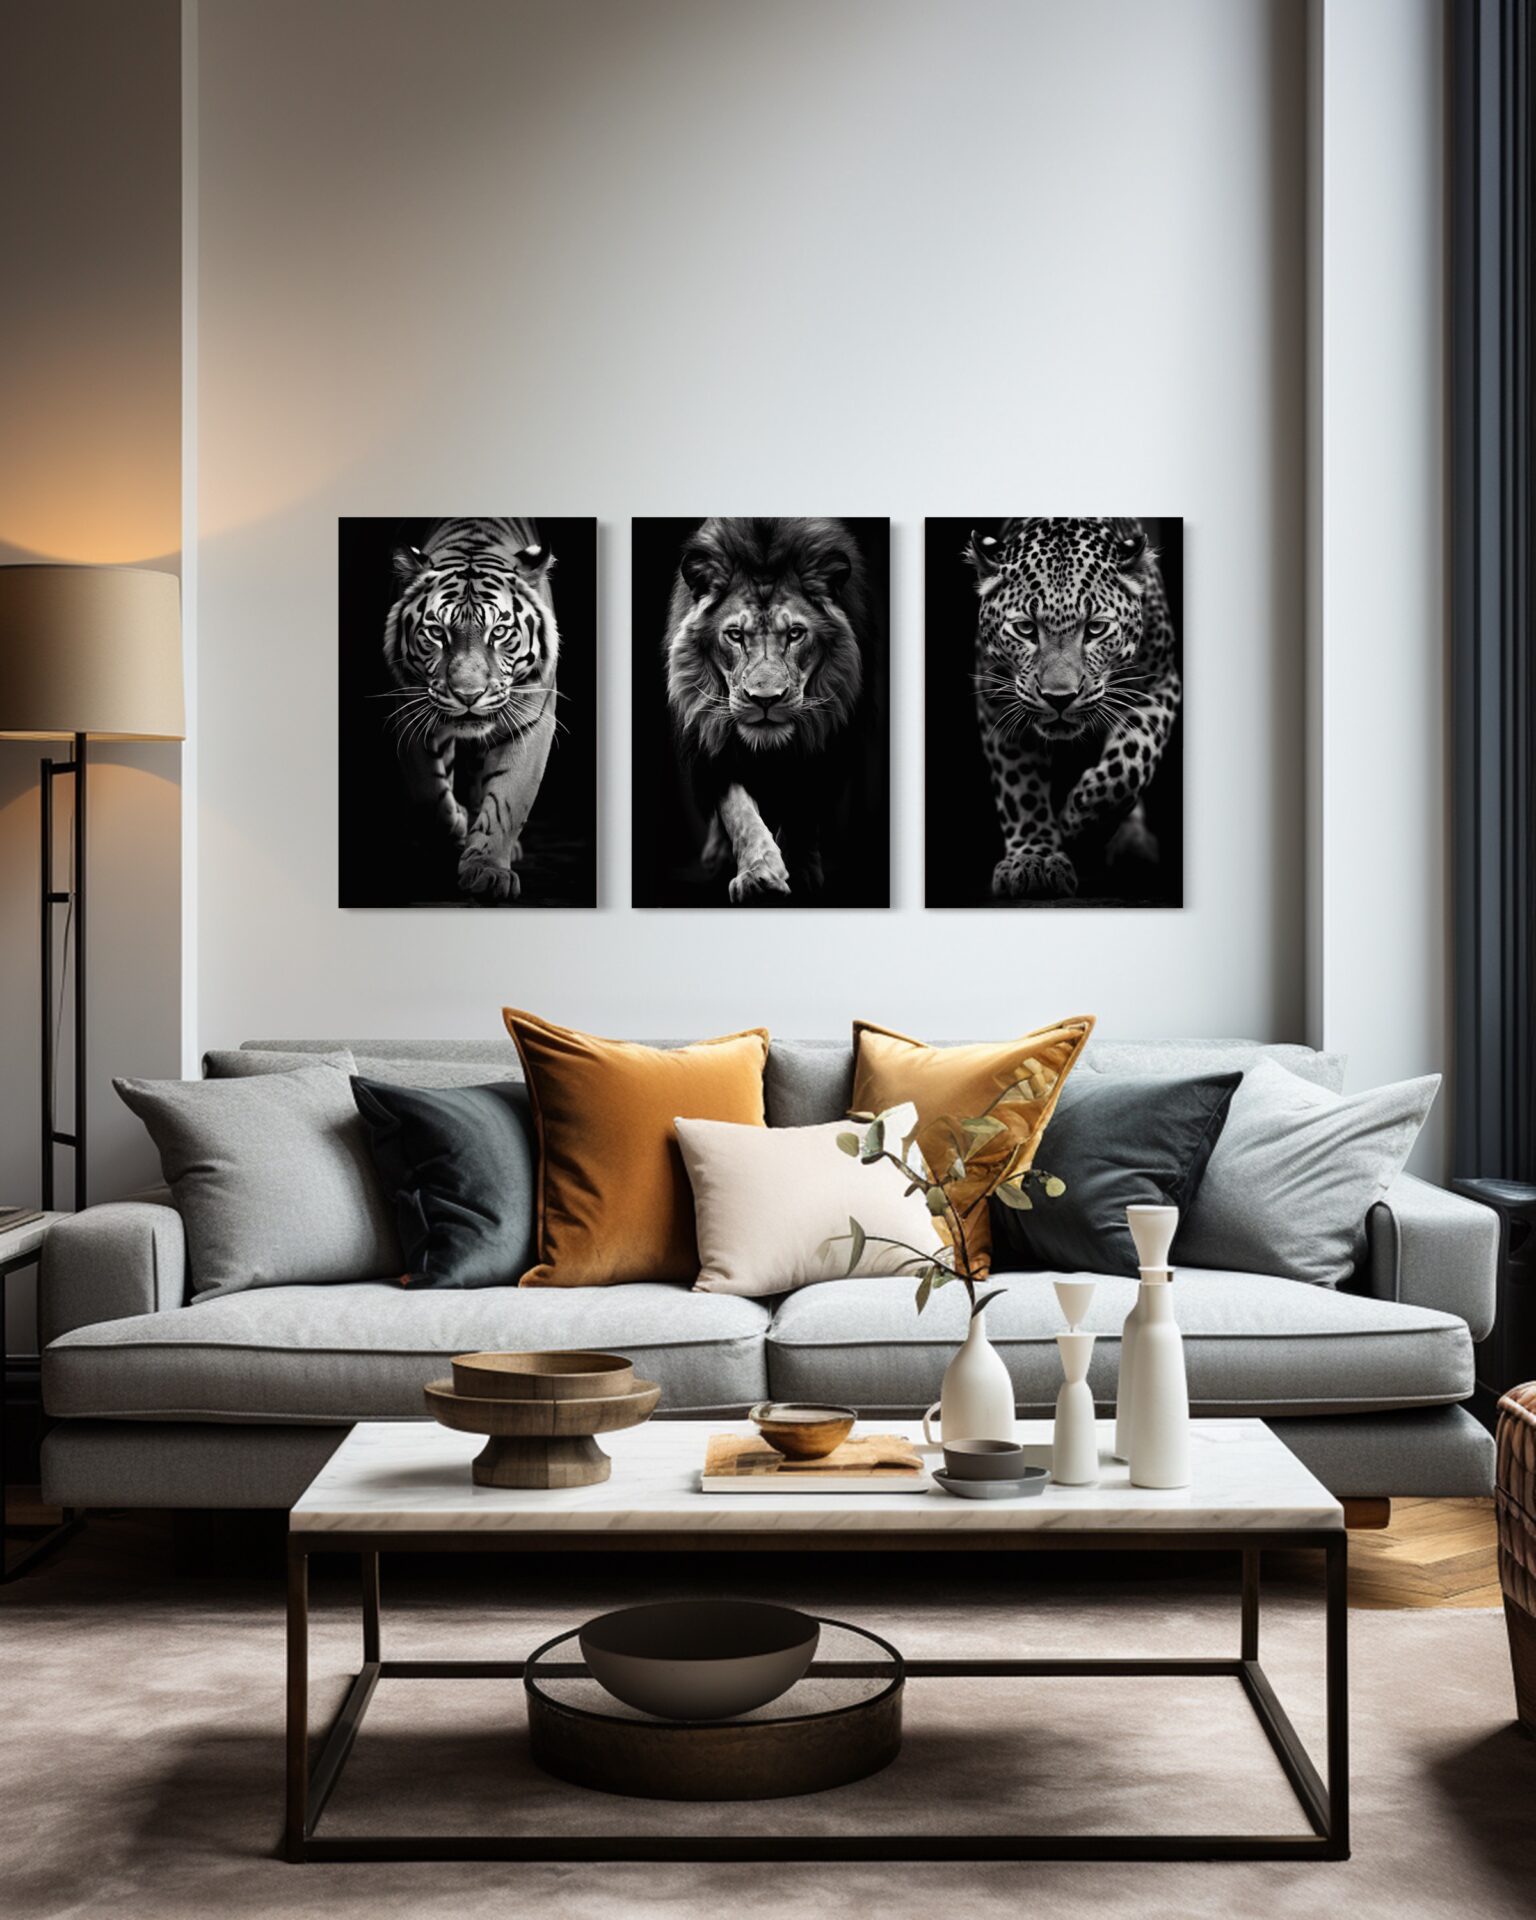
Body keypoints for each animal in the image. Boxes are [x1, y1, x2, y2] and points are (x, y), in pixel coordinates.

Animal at [382, 517, 559, 902]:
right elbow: (430, 796)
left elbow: (509, 799)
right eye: (436, 632)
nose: (468, 695)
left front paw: (488, 870)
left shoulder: (531, 722)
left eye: (500, 631)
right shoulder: (412, 715)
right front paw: (458, 828)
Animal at [663, 516, 870, 903]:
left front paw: (801, 871)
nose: (765, 699)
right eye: (734, 635)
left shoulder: (827, 744)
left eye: (795, 633)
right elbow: (737, 810)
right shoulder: (714, 745)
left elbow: (803, 809)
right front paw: (759, 874)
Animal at [966, 517, 1180, 900]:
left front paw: (1079, 823)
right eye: (1025, 629)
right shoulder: (997, 703)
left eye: (1096, 628)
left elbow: (1128, 765)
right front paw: (1033, 858)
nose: (1059, 697)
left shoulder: (1160, 684)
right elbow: (1020, 787)